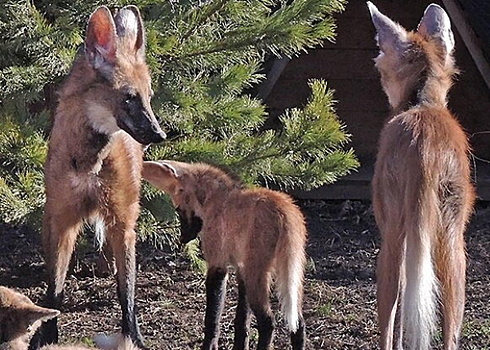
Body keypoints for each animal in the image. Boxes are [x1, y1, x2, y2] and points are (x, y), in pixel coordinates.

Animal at [30, 4, 165, 348]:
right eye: (129, 97)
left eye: (148, 96)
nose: (160, 134)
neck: (89, 163)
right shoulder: (63, 219)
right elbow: (55, 289)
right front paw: (49, 337)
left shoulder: (123, 219)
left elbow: (127, 292)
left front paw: (133, 338)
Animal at [141, 161, 306, 350]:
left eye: (179, 210)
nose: (183, 238)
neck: (213, 201)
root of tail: (284, 209)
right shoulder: (241, 268)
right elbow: (242, 321)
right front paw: (239, 347)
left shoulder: (218, 264)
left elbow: (212, 318)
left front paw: (209, 345)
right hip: (289, 272)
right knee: (298, 322)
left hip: (258, 274)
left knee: (268, 321)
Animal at [368, 3, 474, 350]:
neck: (422, 101)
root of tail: (425, 148)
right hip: (454, 240)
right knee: (451, 324)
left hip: (392, 236)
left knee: (389, 309)